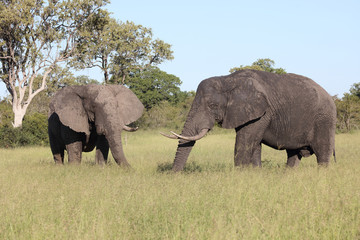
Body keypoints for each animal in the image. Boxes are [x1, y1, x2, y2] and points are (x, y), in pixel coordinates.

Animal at [162, 68, 336, 172]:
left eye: (212, 105)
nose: (174, 176)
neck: (228, 79)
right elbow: (254, 144)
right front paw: (255, 174)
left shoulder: (262, 112)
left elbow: (245, 141)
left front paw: (239, 176)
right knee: (293, 155)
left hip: (324, 119)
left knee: (322, 153)